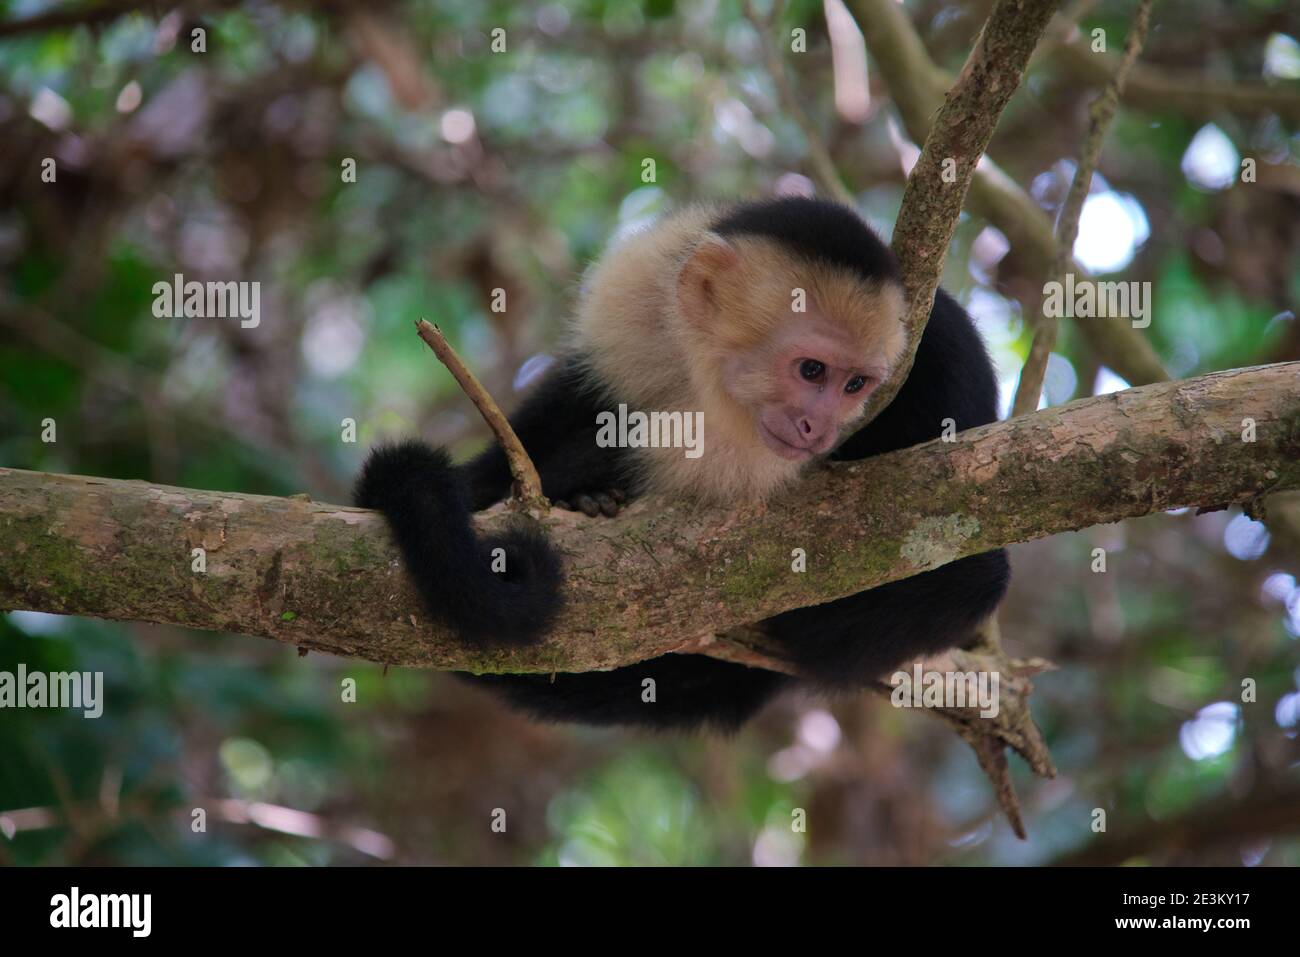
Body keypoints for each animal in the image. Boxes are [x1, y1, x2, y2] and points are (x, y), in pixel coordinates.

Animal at [358, 197, 1013, 728]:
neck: (706, 369)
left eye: (856, 385)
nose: (819, 428)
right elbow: (581, 401)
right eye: (811, 371)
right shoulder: (636, 297)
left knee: (975, 577)